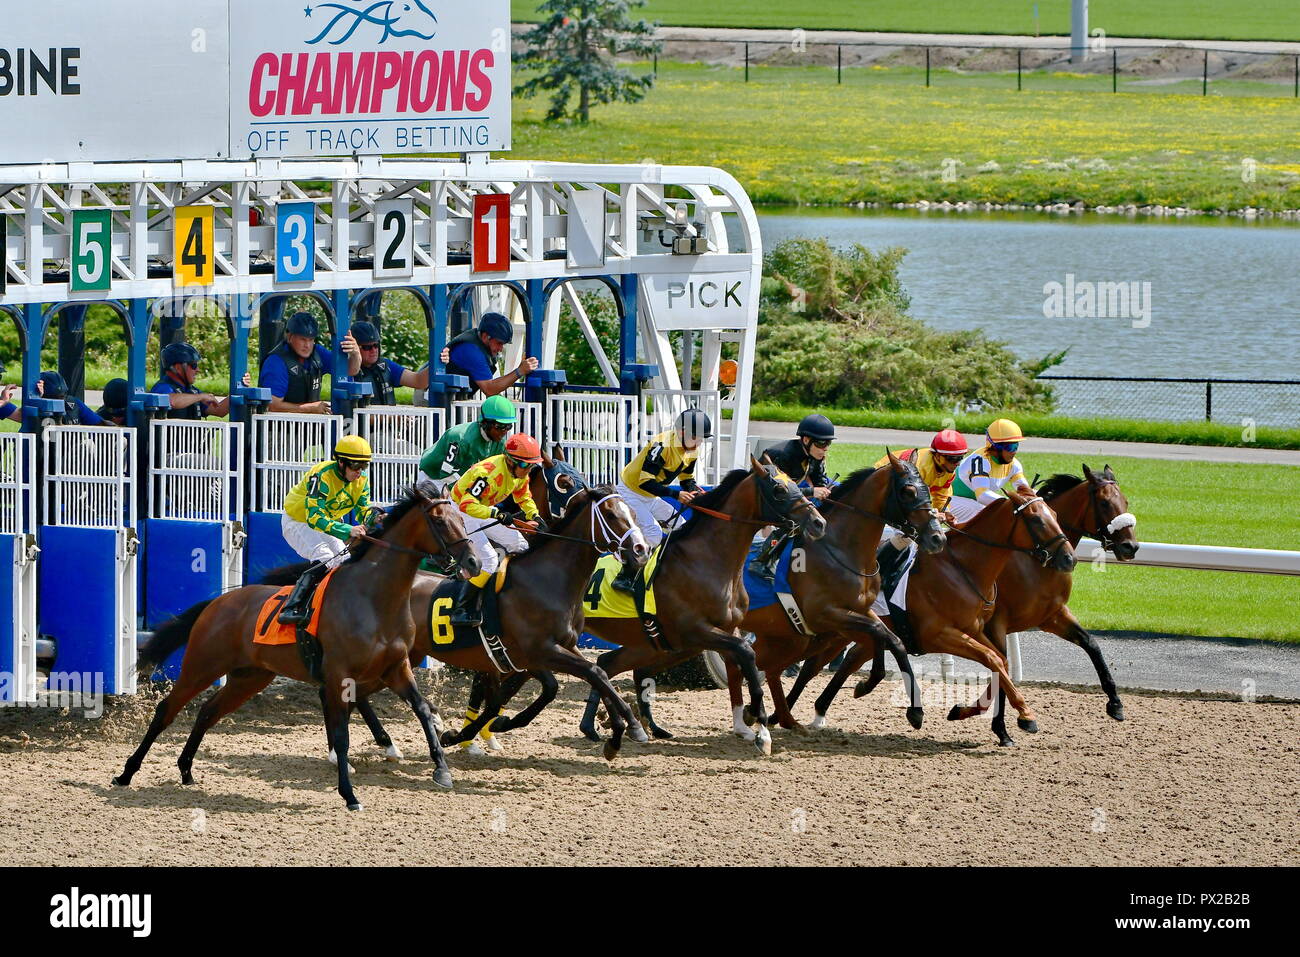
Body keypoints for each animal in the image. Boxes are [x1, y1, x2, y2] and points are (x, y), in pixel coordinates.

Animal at [110, 486, 478, 806]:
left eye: (462, 519)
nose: (473, 562)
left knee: (208, 711)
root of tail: (217, 603)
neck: (374, 598)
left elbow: (423, 710)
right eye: (441, 521)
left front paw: (442, 770)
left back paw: (186, 770)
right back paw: (126, 773)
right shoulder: (340, 675)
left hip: (250, 677)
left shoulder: (396, 667)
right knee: (166, 710)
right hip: (203, 665)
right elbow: (342, 735)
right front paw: (350, 795)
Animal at [577, 455, 821, 754]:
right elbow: (746, 654)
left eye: (796, 483)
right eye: (779, 490)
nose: (818, 522)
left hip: (650, 645)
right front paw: (761, 728)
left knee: (607, 664)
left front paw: (747, 724)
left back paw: (598, 726)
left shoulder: (723, 630)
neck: (706, 559)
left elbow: (742, 663)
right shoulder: (695, 631)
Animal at [722, 452, 946, 738]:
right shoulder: (826, 614)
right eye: (908, 491)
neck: (841, 550)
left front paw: (914, 710)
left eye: (927, 488)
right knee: (746, 664)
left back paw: (772, 716)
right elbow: (878, 633)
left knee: (763, 666)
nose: (938, 538)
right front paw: (869, 684)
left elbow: (891, 639)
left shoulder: (861, 610)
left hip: (786, 637)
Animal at [790, 486, 1076, 748]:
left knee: (843, 661)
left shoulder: (974, 629)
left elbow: (1001, 662)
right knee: (810, 666)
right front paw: (1026, 715)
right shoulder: (938, 634)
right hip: (834, 628)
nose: (1069, 558)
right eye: (1037, 520)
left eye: (1054, 514)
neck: (964, 569)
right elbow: (992, 658)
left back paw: (823, 707)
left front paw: (966, 711)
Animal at [977, 468, 1138, 722]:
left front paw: (1115, 702)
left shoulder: (1051, 615)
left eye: (1126, 501)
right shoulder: (995, 623)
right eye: (1104, 503)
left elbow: (1091, 643)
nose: (1130, 546)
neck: (1035, 561)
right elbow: (1000, 667)